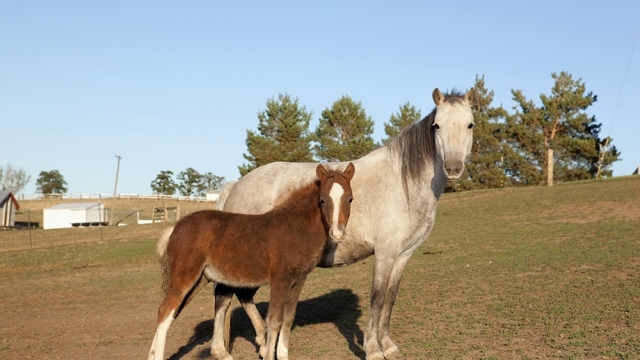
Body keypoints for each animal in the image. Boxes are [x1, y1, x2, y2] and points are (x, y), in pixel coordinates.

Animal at [214, 87, 476, 360]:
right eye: (437, 125)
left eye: (470, 124)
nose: (453, 167)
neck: (402, 183)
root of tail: (237, 186)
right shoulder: (385, 253)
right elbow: (377, 299)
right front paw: (373, 349)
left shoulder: (403, 255)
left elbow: (390, 299)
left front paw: (389, 346)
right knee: (224, 298)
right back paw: (222, 351)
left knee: (243, 295)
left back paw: (264, 341)